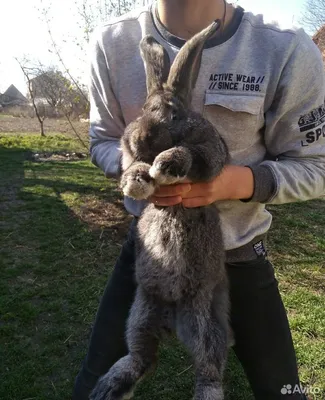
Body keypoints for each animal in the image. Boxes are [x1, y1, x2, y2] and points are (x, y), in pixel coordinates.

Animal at [90, 20, 229, 400]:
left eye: (174, 114)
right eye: (141, 111)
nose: (140, 138)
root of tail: (171, 315)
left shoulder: (209, 152)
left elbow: (190, 154)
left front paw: (165, 167)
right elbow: (133, 167)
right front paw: (138, 180)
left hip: (201, 321)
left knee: (209, 365)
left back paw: (207, 393)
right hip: (140, 314)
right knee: (144, 358)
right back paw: (109, 386)